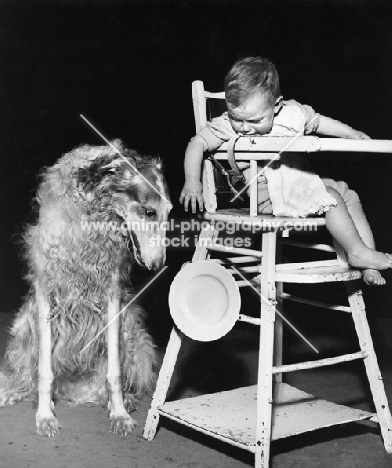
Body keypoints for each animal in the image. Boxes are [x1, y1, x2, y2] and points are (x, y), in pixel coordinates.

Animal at [0, 139, 172, 436]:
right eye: (150, 212)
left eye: (169, 212)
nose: (157, 265)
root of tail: (75, 389)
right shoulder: (46, 292)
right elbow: (44, 372)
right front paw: (45, 416)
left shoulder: (113, 293)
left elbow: (114, 372)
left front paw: (119, 414)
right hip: (24, 324)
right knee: (26, 379)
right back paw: (13, 392)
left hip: (132, 329)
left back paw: (122, 400)